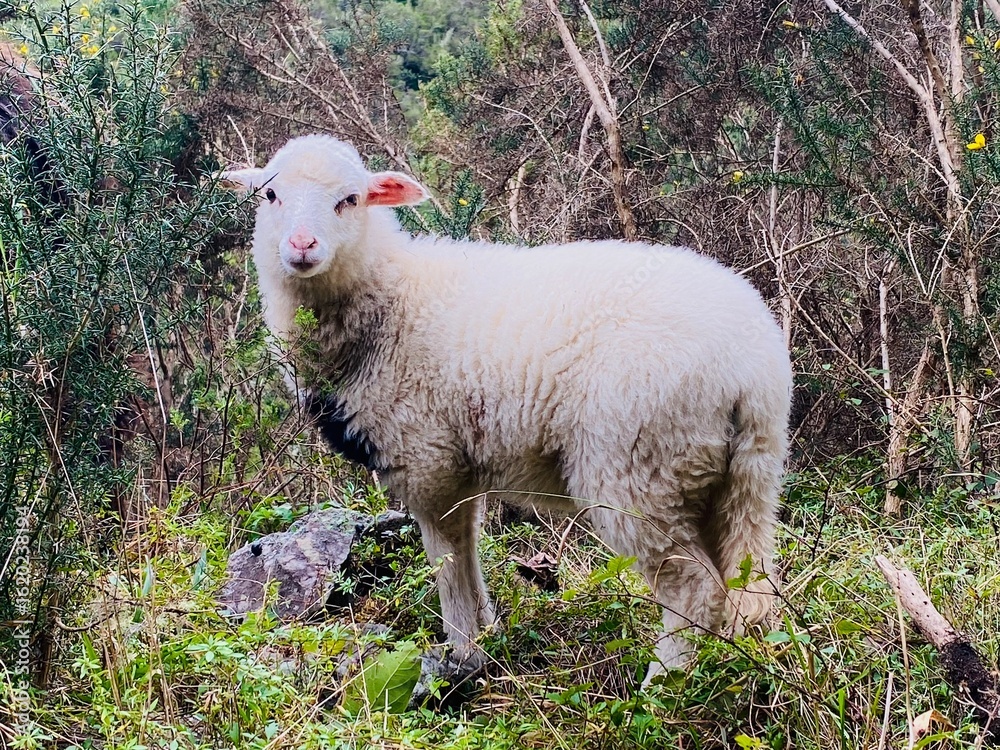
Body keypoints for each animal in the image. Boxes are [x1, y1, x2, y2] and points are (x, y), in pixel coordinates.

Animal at [220, 134, 792, 685]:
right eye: (270, 195)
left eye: (350, 199)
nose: (301, 246)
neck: (389, 300)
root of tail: (751, 370)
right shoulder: (460, 467)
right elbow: (469, 551)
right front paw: (486, 637)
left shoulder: (426, 460)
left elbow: (447, 561)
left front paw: (462, 654)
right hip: (741, 478)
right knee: (747, 585)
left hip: (639, 467)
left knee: (693, 590)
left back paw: (663, 686)